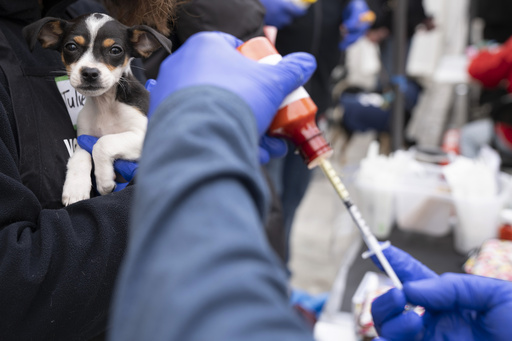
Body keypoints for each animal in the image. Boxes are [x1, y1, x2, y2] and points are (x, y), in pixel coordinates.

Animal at [24, 12, 173, 205]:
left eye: (115, 50)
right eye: (71, 47)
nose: (89, 73)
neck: (105, 105)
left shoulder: (145, 134)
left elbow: (103, 142)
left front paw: (104, 180)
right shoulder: (83, 137)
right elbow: (80, 155)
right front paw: (75, 187)